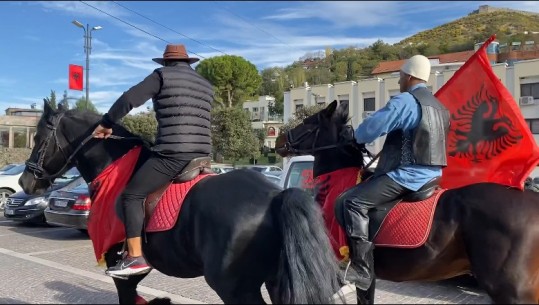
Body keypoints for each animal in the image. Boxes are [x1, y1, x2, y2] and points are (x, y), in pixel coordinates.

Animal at [21, 101, 344, 302]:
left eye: (38, 138)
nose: (26, 182)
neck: (117, 169)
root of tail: (276, 195)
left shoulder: (117, 264)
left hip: (236, 289)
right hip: (276, 281)